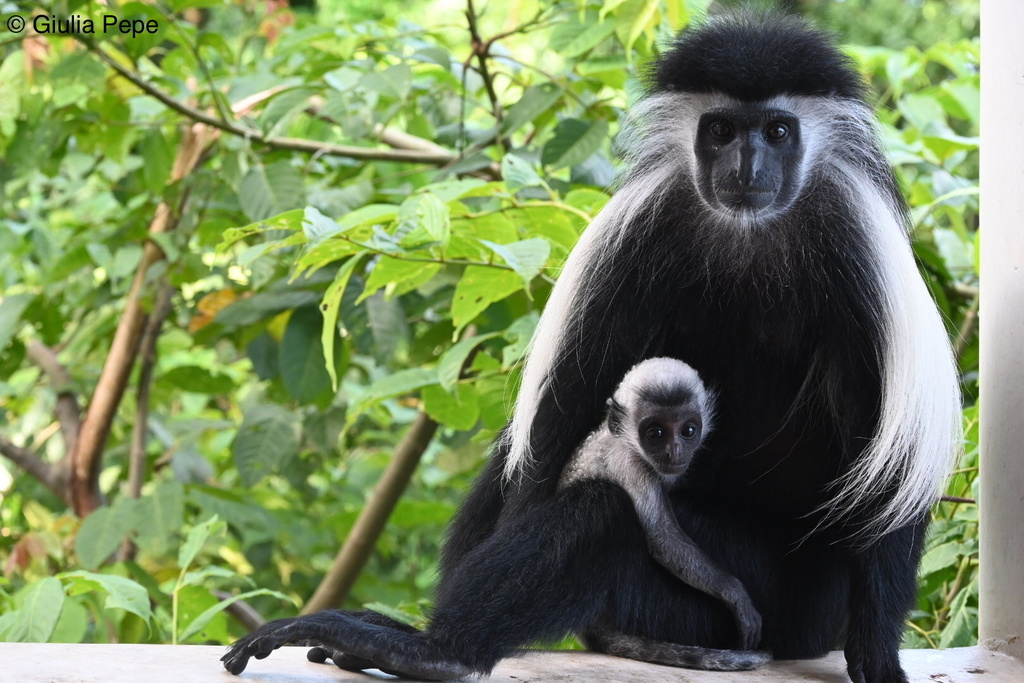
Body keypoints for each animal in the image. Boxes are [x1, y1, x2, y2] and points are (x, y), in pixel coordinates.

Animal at [561, 360, 770, 671]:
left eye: (688, 430)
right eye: (656, 434)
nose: (675, 452)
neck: (621, 439)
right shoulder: (633, 465)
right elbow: (663, 539)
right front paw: (736, 596)